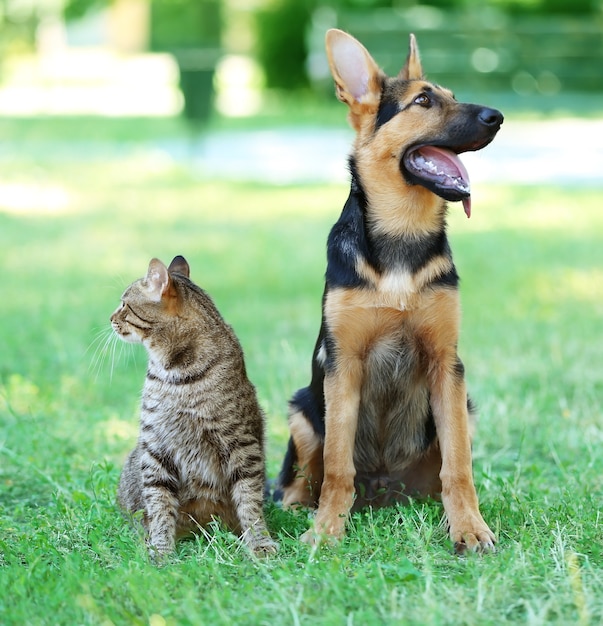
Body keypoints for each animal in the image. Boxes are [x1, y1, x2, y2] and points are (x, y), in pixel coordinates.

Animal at [111, 254, 278, 556]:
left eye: (124, 305)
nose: (110, 319)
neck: (174, 375)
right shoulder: (155, 446)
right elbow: (159, 503)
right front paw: (161, 549)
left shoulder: (240, 442)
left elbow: (249, 499)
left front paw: (259, 543)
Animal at [278, 29, 504, 552]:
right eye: (423, 100)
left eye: (452, 96)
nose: (499, 117)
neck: (403, 233)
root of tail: (383, 492)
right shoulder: (344, 365)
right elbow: (337, 464)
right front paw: (326, 529)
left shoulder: (447, 365)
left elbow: (458, 467)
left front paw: (469, 527)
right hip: (302, 410)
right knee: (306, 473)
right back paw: (298, 505)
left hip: (465, 409)